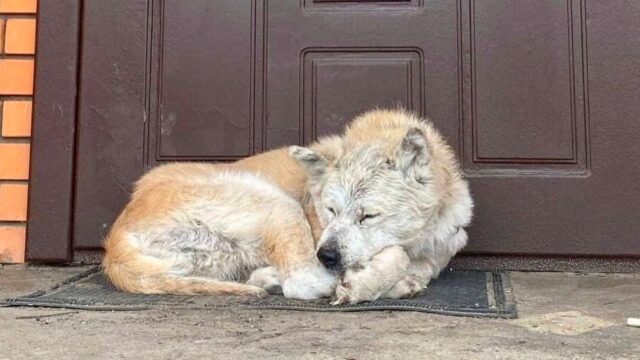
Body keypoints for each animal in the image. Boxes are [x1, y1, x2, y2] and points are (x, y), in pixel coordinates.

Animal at [292, 109, 472, 304]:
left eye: (368, 216)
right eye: (331, 210)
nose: (326, 256)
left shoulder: (444, 243)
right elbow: (401, 255)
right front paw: (361, 285)